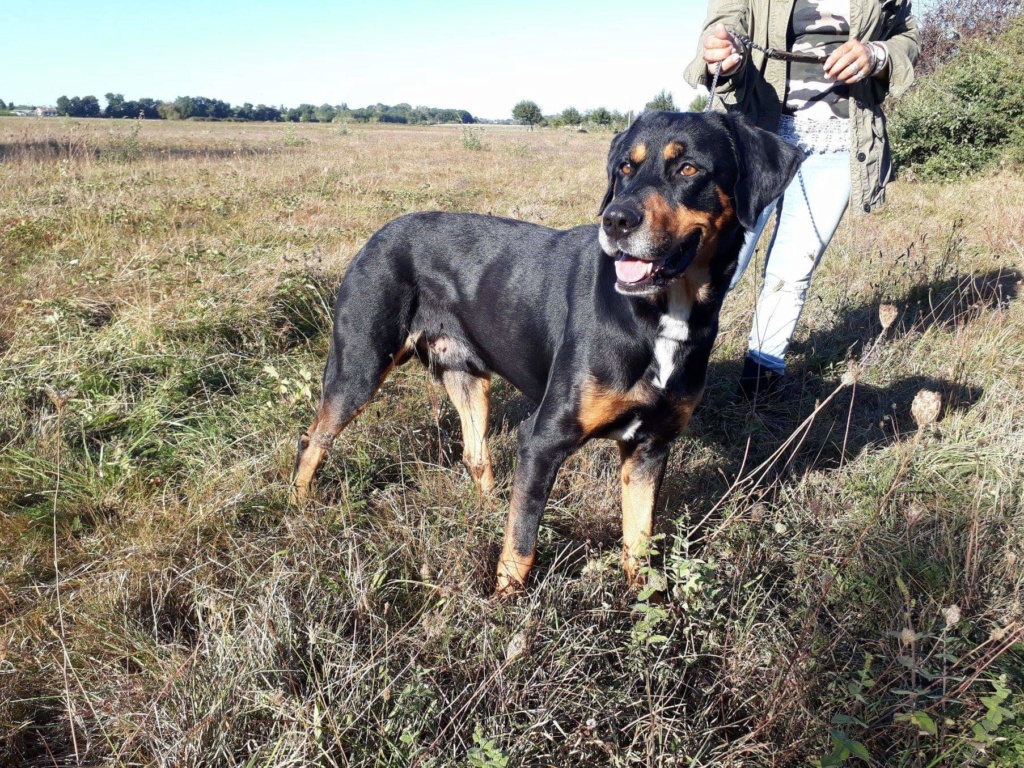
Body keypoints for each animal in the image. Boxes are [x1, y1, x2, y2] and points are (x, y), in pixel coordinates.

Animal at [292, 111, 802, 598]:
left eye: (689, 168)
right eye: (625, 167)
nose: (615, 221)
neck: (658, 313)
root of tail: (378, 234)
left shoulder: (650, 448)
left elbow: (639, 542)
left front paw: (646, 605)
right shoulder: (541, 439)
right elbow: (522, 544)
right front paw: (503, 610)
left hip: (467, 377)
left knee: (475, 455)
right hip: (360, 366)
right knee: (314, 439)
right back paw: (299, 507)